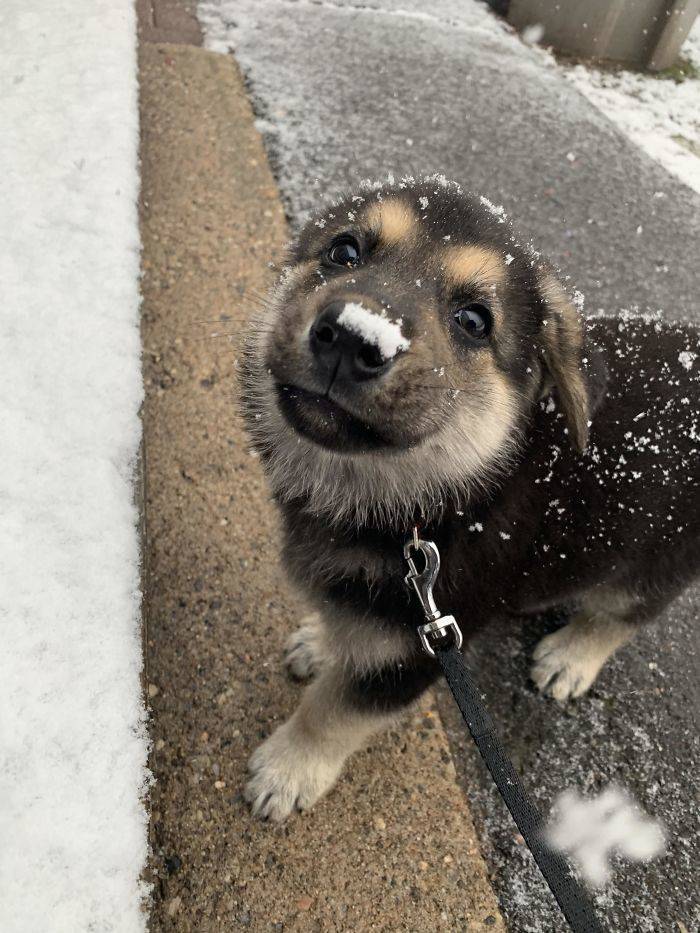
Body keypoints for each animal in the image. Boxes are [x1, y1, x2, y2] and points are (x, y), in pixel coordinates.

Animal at [242, 175, 700, 816]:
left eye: (474, 320)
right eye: (344, 251)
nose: (354, 337)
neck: (436, 500)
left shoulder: (416, 648)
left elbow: (334, 715)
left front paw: (288, 772)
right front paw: (321, 638)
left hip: (661, 557)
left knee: (622, 613)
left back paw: (571, 657)